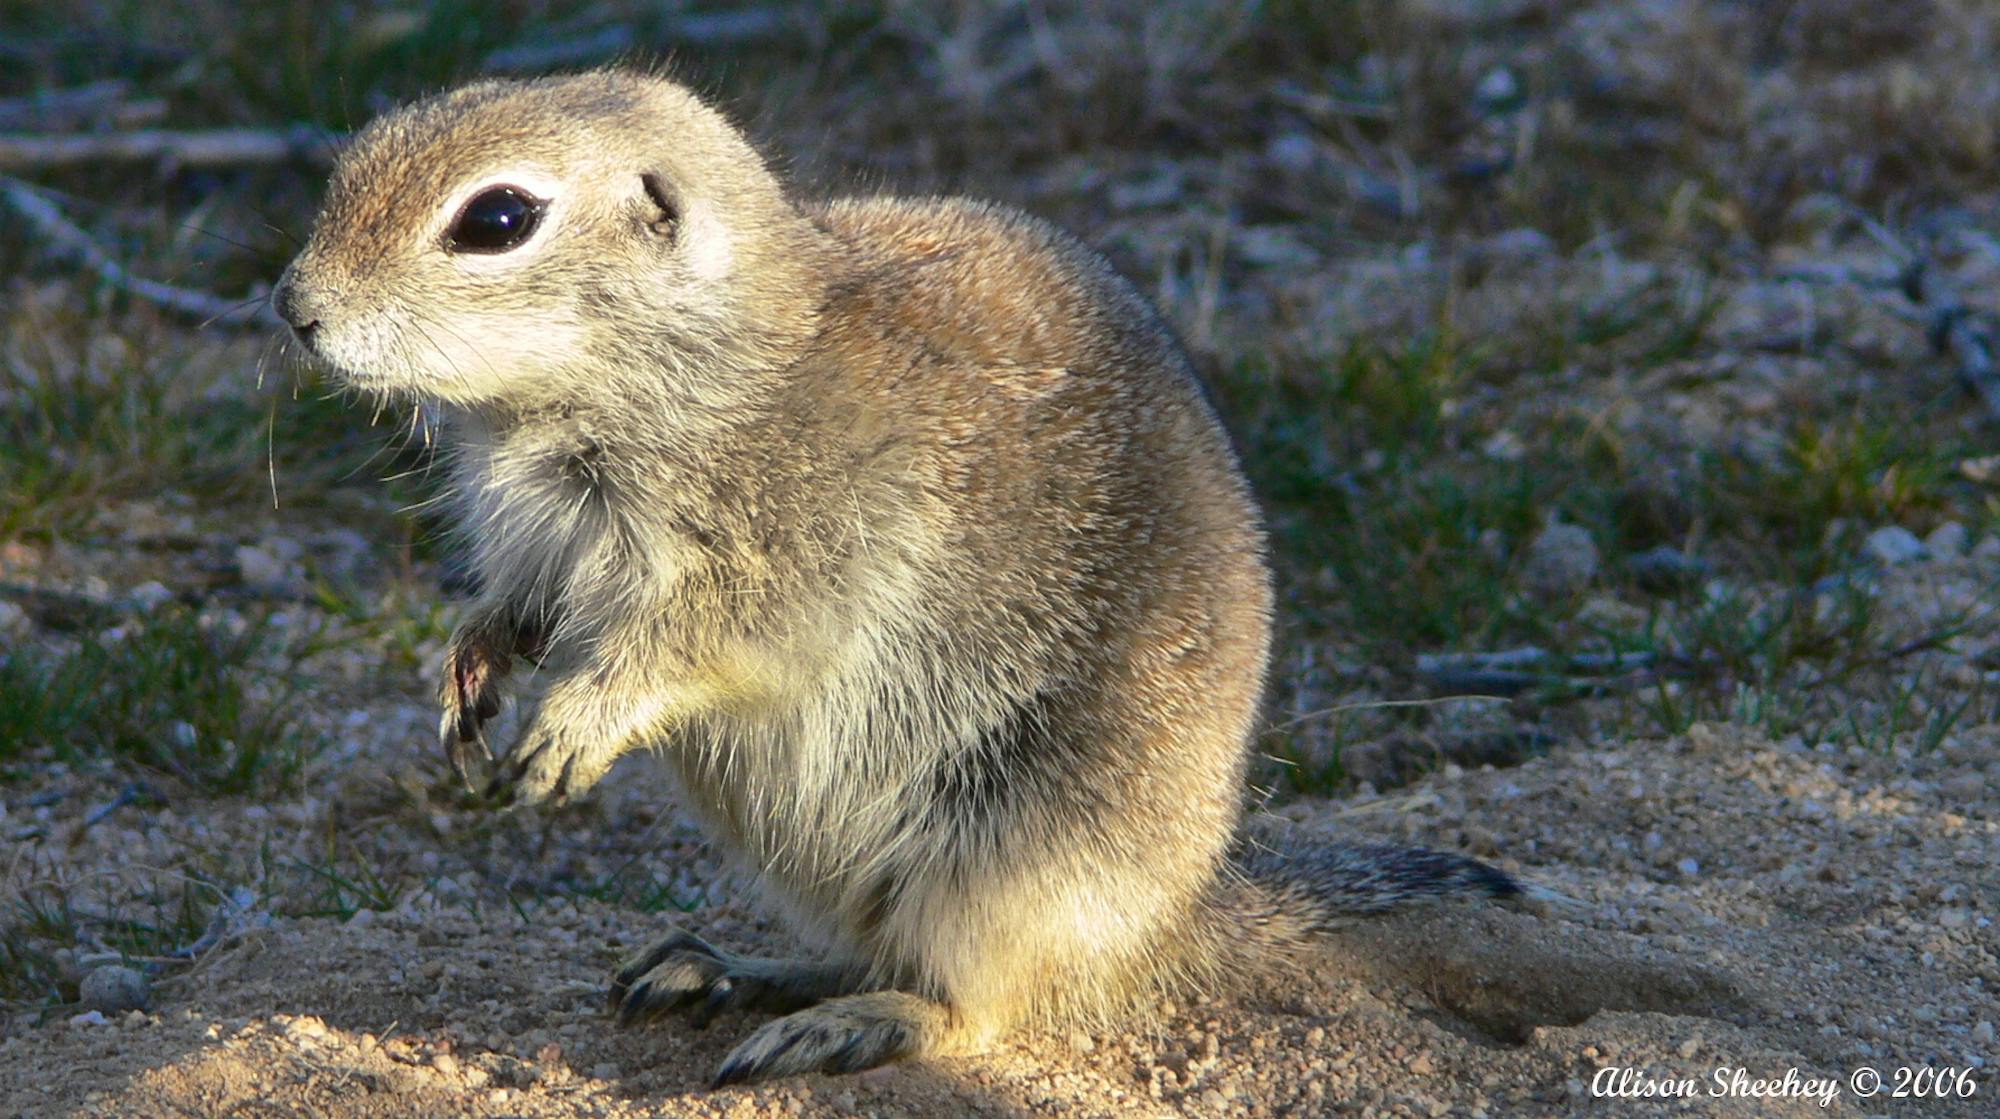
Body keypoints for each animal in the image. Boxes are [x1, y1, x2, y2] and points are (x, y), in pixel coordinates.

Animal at [272, 69, 1547, 1086]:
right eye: (363, 149)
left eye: (496, 218)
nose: (292, 307)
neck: (694, 352)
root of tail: (1181, 911)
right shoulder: (535, 539)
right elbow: (517, 605)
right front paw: (471, 675)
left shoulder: (789, 540)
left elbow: (700, 640)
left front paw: (570, 727)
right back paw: (727, 970)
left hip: (1008, 857)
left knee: (976, 1007)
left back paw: (849, 1022)